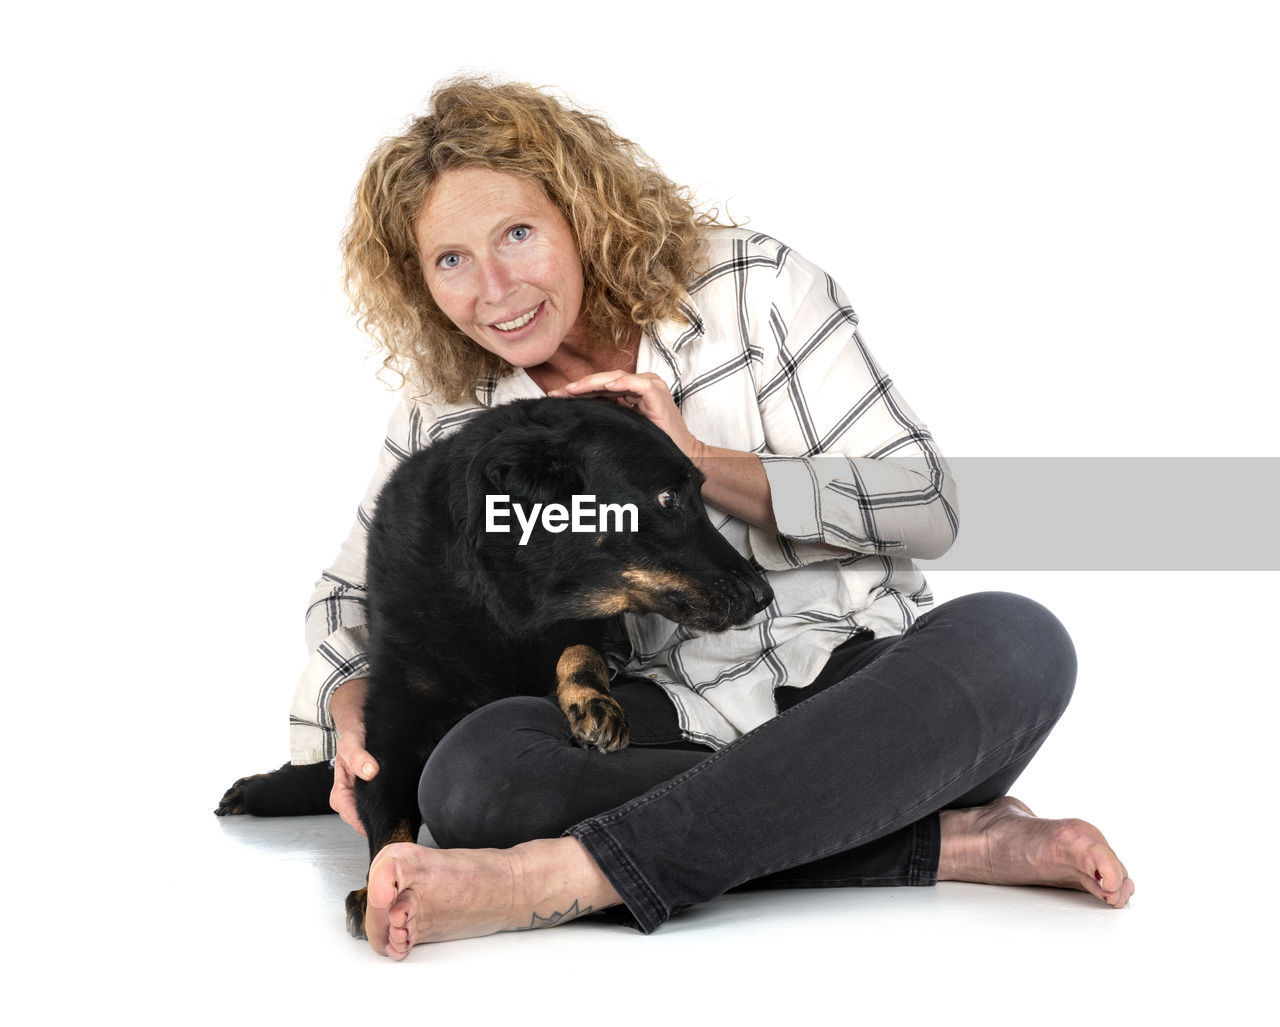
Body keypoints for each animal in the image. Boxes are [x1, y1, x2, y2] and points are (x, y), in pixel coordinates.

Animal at [217, 396, 768, 937]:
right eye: (668, 499)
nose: (765, 595)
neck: (502, 599)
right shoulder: (395, 714)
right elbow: (387, 811)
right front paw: (379, 884)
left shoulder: (583, 627)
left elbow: (579, 651)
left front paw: (592, 700)